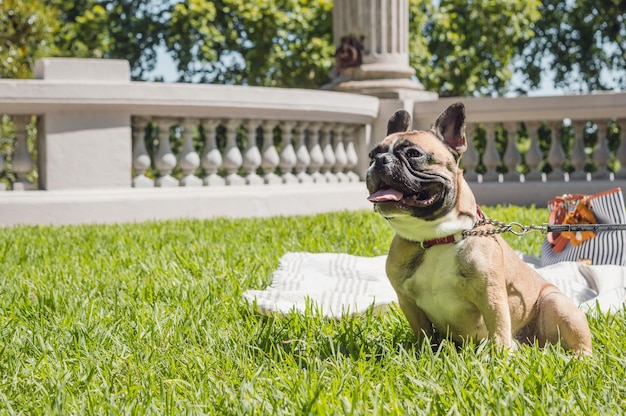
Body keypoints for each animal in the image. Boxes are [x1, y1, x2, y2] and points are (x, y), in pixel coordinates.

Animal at [366, 103, 588, 354]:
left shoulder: (491, 296)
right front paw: (426, 352)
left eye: (414, 154)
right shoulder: (407, 301)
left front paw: (500, 358)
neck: (436, 236)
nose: (380, 160)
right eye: (372, 155)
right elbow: (423, 334)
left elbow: (499, 330)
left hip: (556, 303)